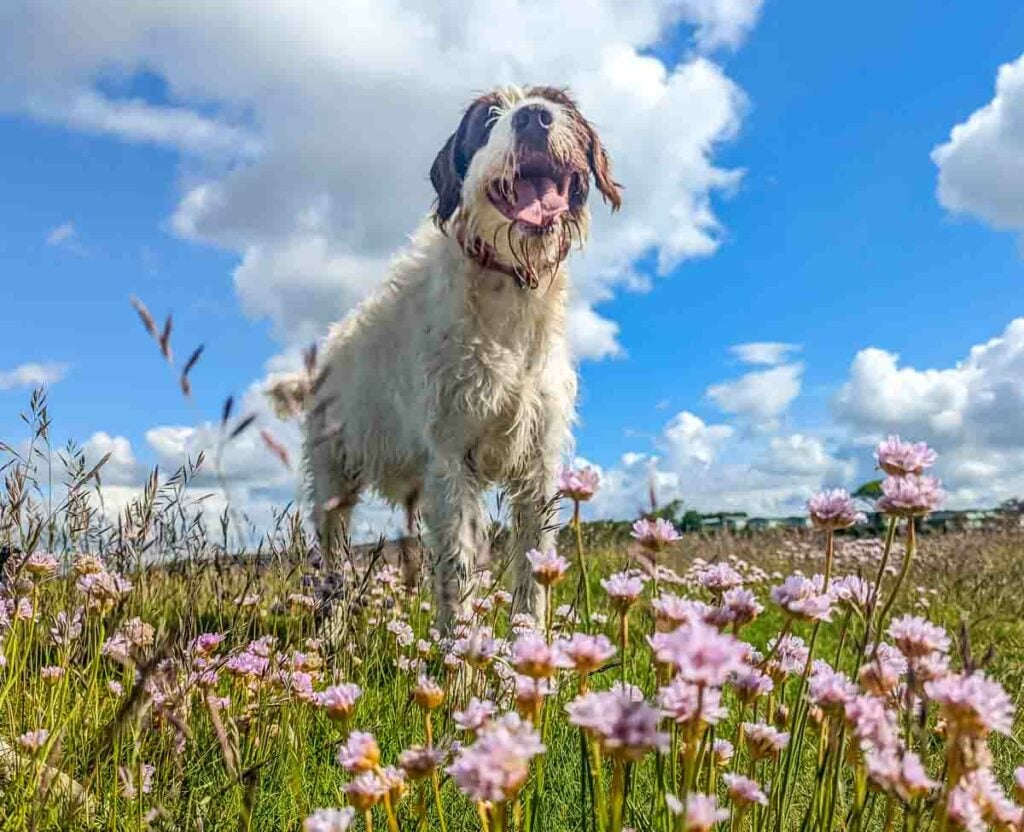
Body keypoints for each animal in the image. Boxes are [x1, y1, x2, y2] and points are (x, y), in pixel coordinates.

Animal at [268, 86, 618, 631]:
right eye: (488, 118)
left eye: (555, 103)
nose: (534, 118)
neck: (509, 292)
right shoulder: (451, 462)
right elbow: (456, 570)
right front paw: (459, 650)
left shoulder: (538, 468)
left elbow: (533, 571)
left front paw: (529, 644)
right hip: (332, 484)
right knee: (333, 563)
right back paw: (332, 629)